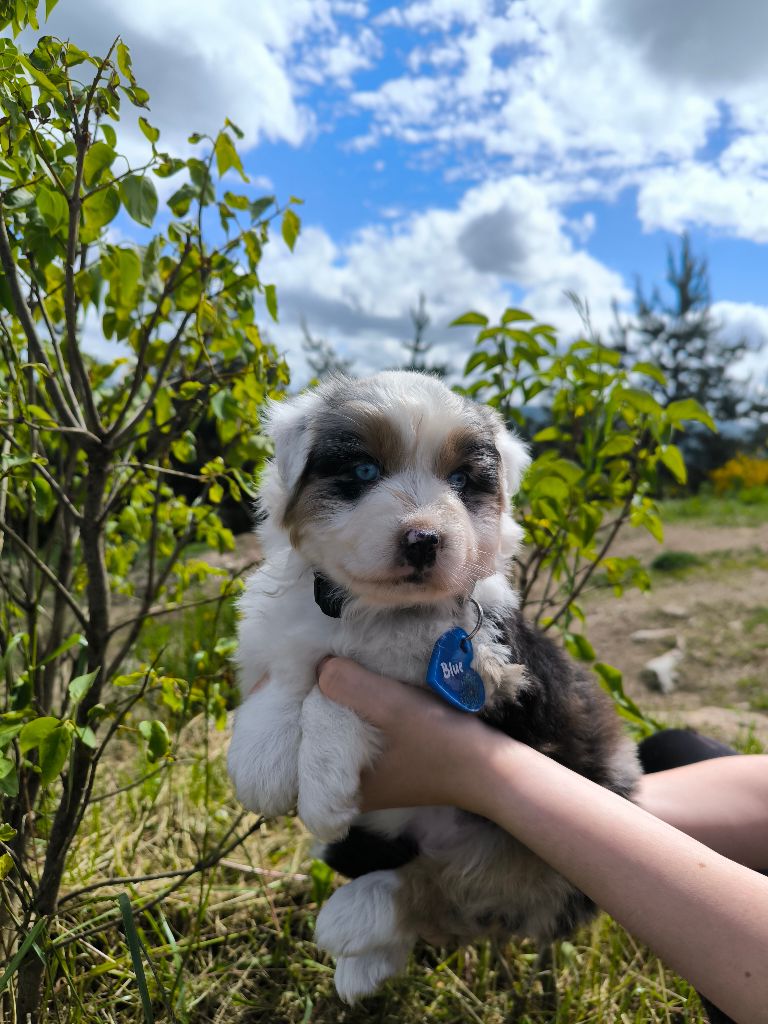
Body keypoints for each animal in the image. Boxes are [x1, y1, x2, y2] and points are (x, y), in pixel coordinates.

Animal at [227, 372, 638, 1003]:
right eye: (364, 470)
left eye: (462, 482)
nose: (423, 539)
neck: (371, 611)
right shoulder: (288, 630)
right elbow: (289, 673)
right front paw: (260, 763)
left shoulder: (489, 680)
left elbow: (332, 692)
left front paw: (322, 793)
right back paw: (362, 961)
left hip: (536, 862)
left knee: (453, 892)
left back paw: (352, 920)